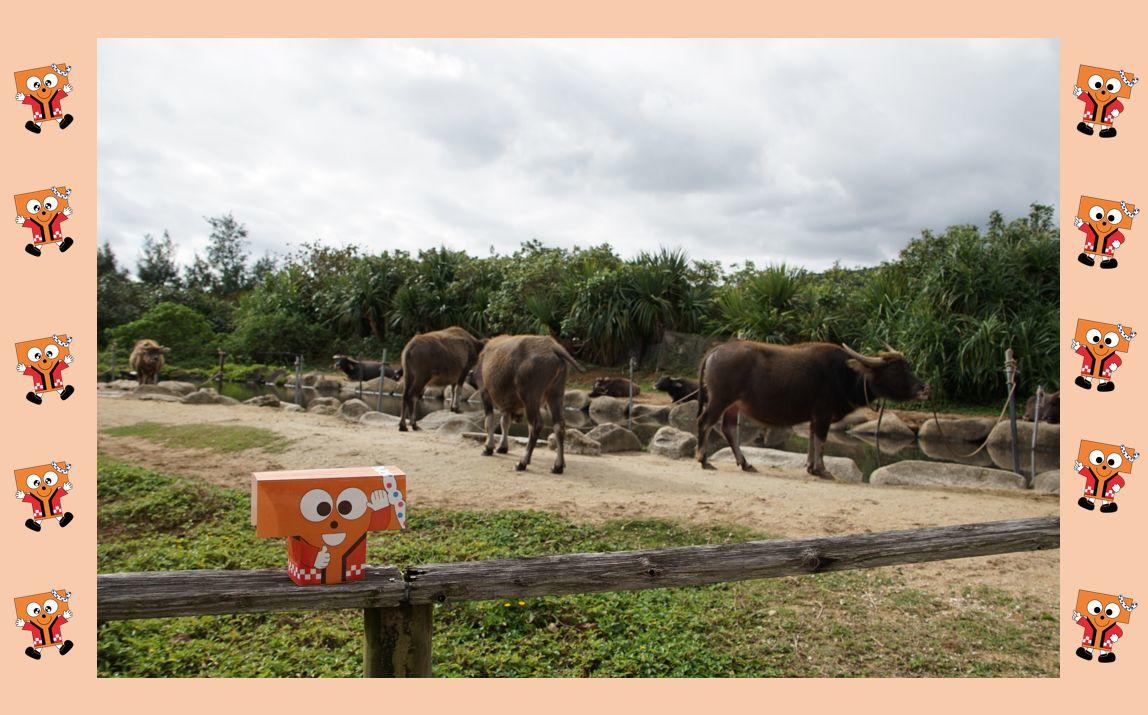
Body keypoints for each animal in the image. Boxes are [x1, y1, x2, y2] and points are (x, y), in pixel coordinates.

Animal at [470, 335, 587, 475]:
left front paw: (488, 448)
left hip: (530, 399)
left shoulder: (485, 393)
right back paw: (558, 465)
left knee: (535, 425)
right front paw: (502, 447)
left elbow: (489, 422)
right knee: (559, 425)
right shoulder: (507, 405)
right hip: (555, 395)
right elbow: (505, 423)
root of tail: (552, 347)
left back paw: (522, 462)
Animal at [693, 339, 927, 477]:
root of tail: (716, 350)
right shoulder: (823, 414)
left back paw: (745, 463)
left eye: (906, 365)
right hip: (720, 399)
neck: (846, 374)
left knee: (728, 428)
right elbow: (821, 440)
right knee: (705, 422)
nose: (923, 387)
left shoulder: (815, 417)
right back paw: (703, 459)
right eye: (895, 369)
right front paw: (821, 469)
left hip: (733, 405)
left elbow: (812, 440)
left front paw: (810, 466)